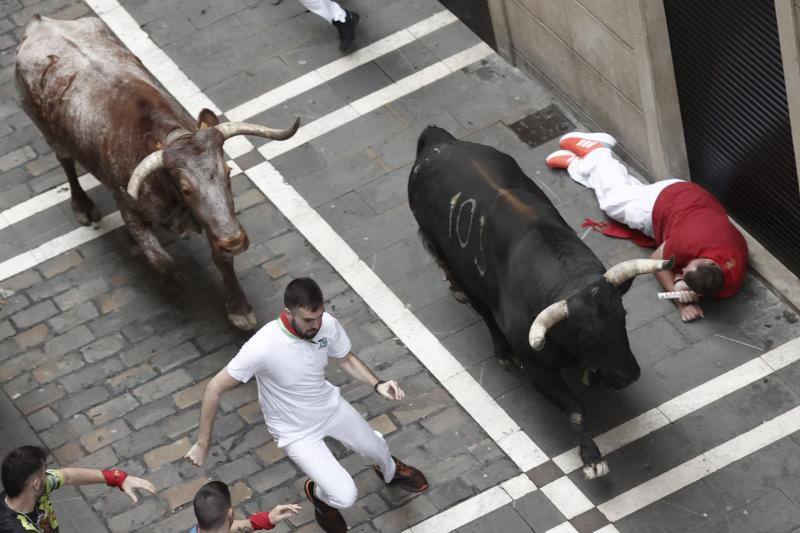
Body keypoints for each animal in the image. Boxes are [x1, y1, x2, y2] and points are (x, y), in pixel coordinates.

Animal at [14, 15, 298, 328]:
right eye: (185, 187)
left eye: (227, 172)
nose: (234, 241)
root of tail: (41, 23)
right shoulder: (128, 207)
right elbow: (161, 259)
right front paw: (176, 282)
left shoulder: (216, 220)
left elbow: (221, 258)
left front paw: (239, 308)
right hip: (48, 132)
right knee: (65, 163)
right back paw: (83, 207)